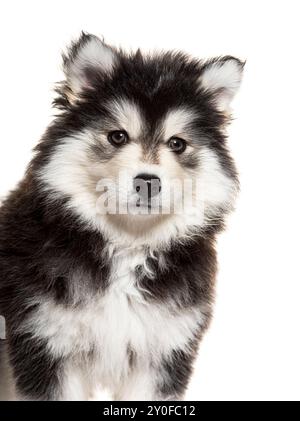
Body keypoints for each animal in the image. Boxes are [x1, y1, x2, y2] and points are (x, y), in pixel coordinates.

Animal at [0, 33, 244, 400]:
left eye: (177, 143)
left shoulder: (162, 353)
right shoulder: (45, 343)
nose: (148, 182)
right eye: (117, 136)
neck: (128, 245)